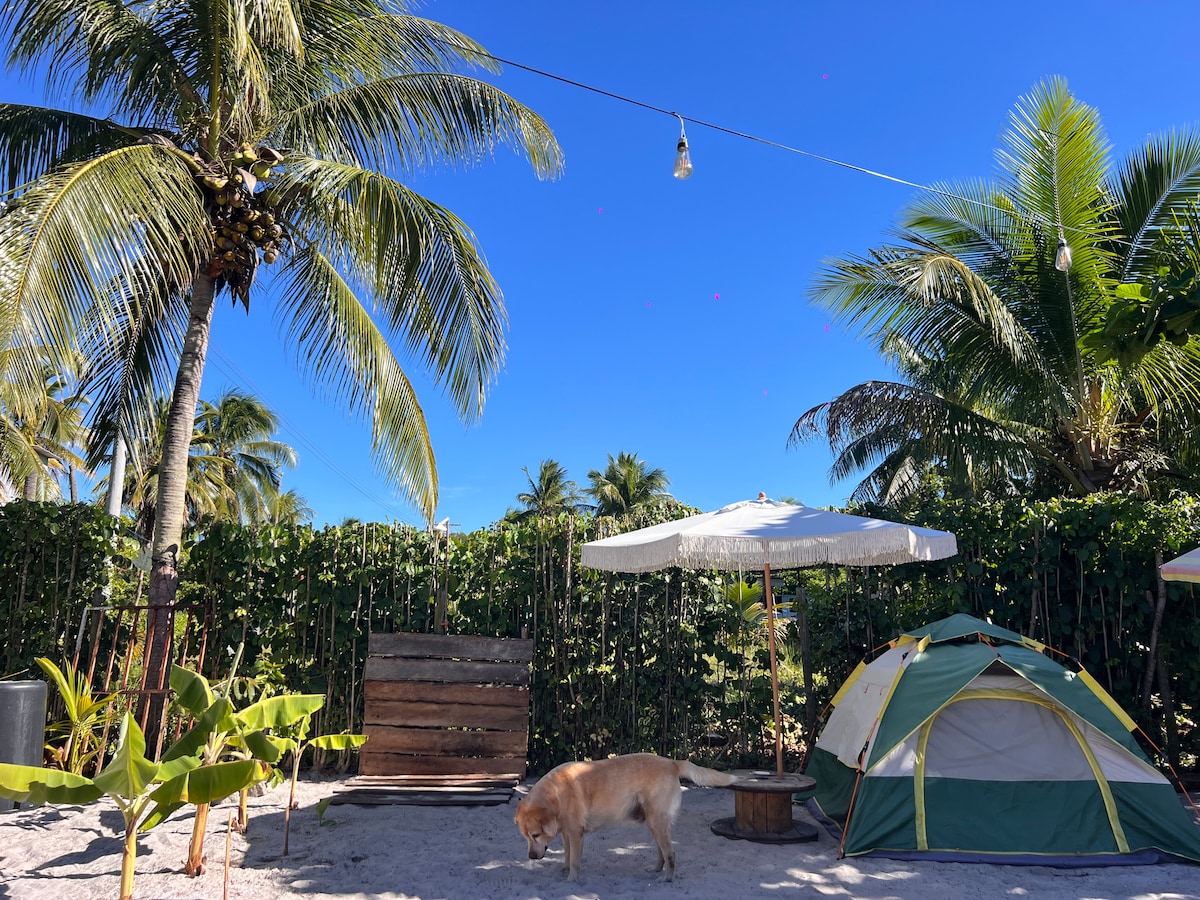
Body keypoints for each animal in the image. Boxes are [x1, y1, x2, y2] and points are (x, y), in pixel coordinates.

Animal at [514, 752, 737, 882]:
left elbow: (575, 860)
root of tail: (672, 762)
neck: (555, 794)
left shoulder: (576, 833)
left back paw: (667, 878)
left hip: (656, 822)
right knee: (662, 852)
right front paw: (564, 870)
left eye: (535, 835)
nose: (530, 856)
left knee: (670, 853)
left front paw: (571, 880)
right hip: (654, 823)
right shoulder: (567, 833)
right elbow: (568, 855)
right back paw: (656, 870)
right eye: (525, 837)